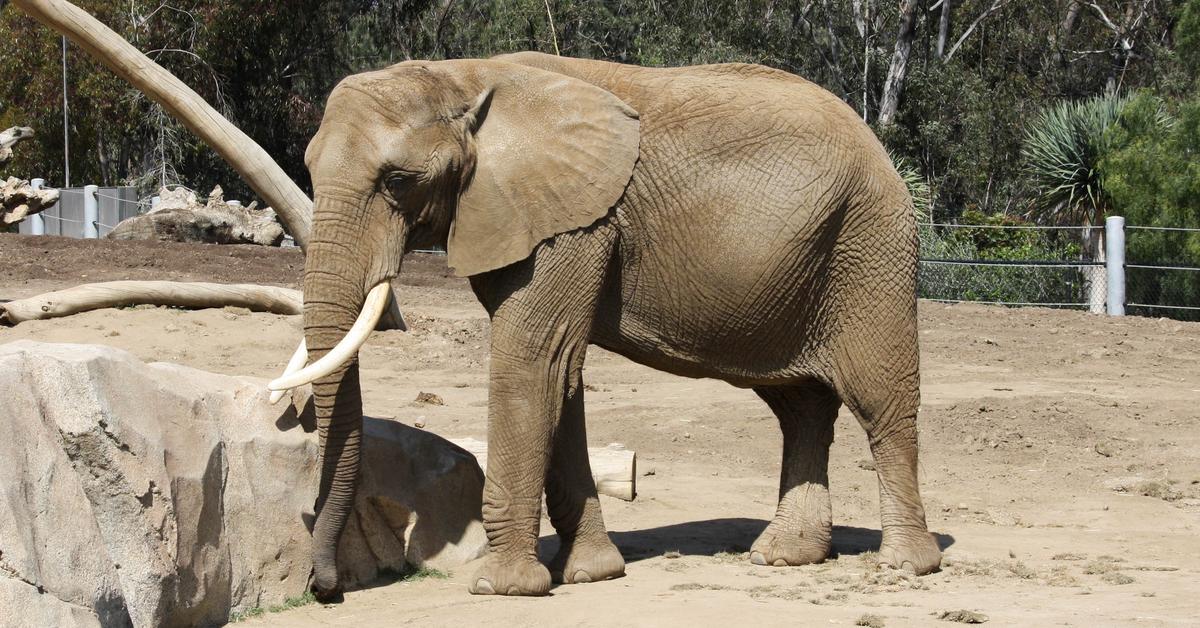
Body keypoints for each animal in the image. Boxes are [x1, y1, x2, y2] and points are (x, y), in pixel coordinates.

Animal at [270, 51, 936, 597]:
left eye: (397, 181)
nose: (325, 588)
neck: (465, 76)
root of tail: (881, 151)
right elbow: (560, 374)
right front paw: (592, 573)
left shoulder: (573, 220)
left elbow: (532, 359)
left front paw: (502, 588)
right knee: (799, 408)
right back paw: (782, 557)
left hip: (870, 243)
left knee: (880, 403)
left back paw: (905, 566)